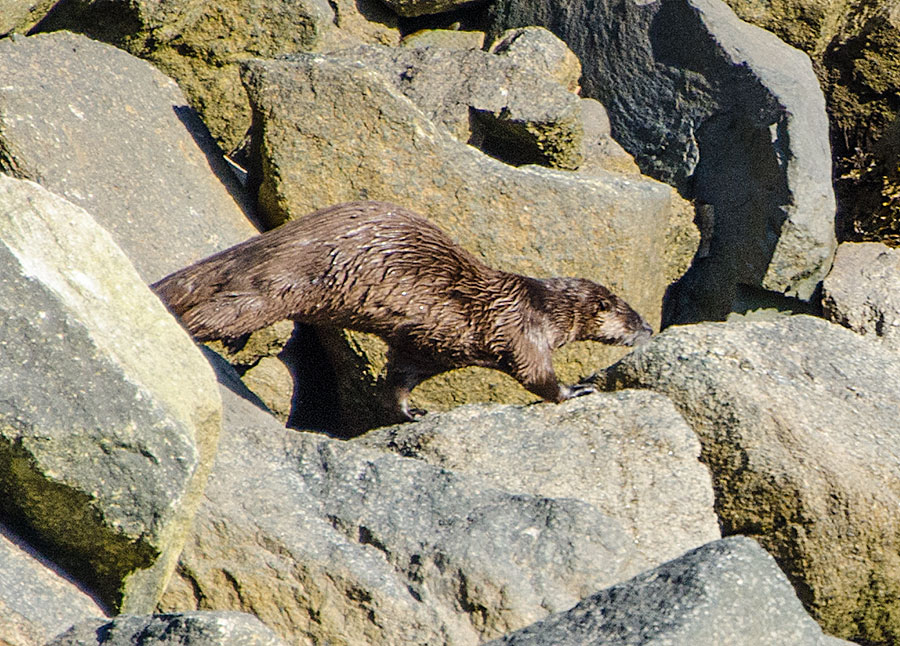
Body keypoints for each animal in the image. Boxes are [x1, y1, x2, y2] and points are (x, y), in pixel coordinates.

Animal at [152, 201, 652, 421]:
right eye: (631, 314)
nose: (648, 328)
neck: (542, 308)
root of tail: (272, 242)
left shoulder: (428, 347)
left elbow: (398, 382)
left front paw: (413, 414)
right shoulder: (520, 330)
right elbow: (536, 374)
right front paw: (577, 389)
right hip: (279, 288)